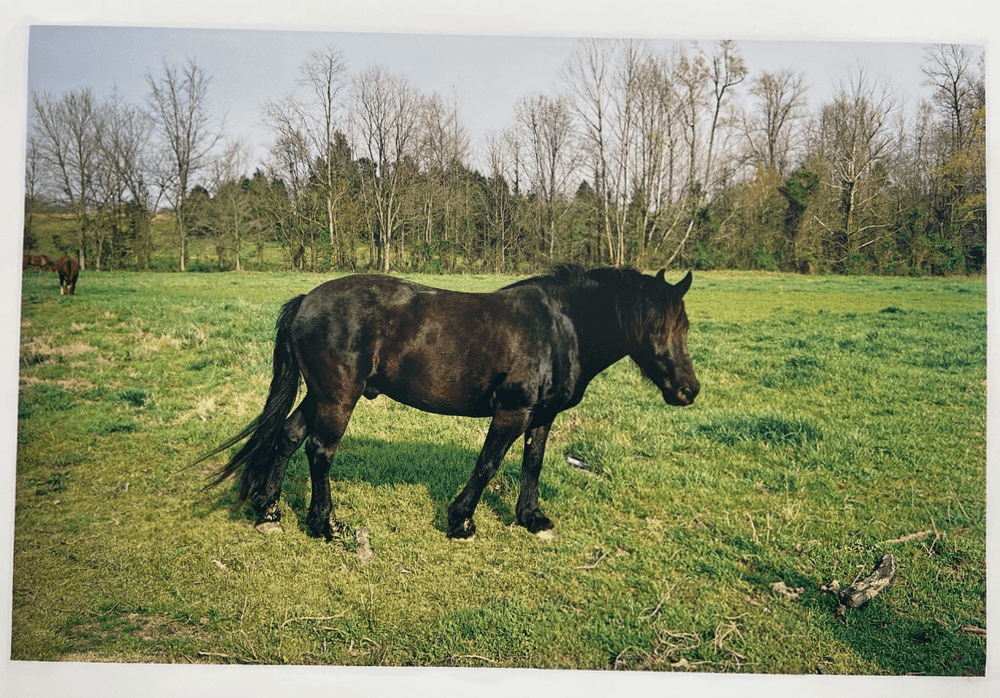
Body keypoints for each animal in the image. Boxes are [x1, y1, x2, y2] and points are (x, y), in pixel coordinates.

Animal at [198, 265, 699, 541]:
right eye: (656, 327)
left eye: (685, 326)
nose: (688, 391)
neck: (558, 327)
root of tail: (306, 301)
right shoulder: (513, 411)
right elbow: (489, 463)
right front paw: (461, 522)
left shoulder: (543, 415)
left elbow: (532, 463)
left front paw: (532, 518)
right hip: (339, 397)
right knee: (320, 451)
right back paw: (325, 524)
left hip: (321, 394)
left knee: (287, 436)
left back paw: (269, 511)